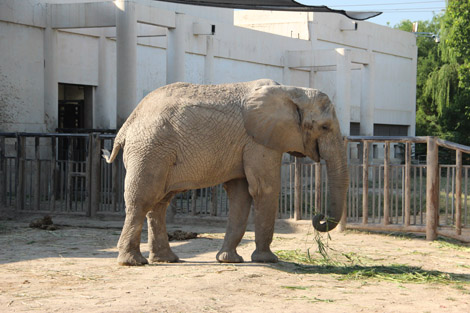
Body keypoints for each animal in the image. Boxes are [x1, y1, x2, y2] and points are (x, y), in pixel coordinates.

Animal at [103, 79, 348, 264]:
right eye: (324, 127)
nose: (319, 216)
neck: (293, 90)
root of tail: (127, 125)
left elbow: (241, 195)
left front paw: (228, 260)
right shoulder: (258, 141)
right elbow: (264, 189)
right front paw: (268, 260)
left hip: (156, 152)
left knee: (159, 203)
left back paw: (166, 260)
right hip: (150, 150)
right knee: (142, 199)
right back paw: (132, 262)